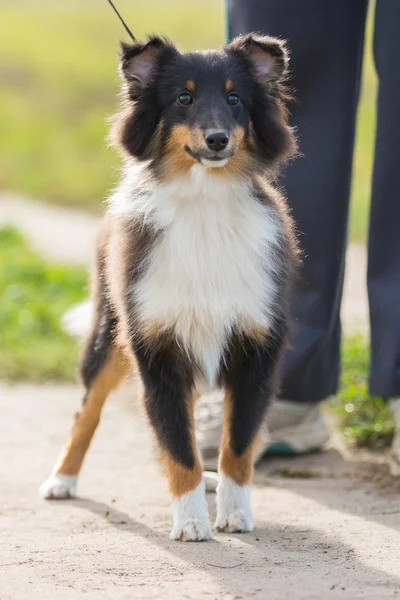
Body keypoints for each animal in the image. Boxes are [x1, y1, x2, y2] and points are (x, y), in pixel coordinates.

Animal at [40, 31, 298, 540]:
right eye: (184, 98)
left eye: (235, 99)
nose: (217, 139)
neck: (205, 199)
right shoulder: (156, 347)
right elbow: (177, 444)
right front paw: (191, 521)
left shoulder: (257, 347)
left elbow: (238, 442)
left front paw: (235, 513)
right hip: (108, 332)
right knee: (87, 409)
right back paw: (61, 480)